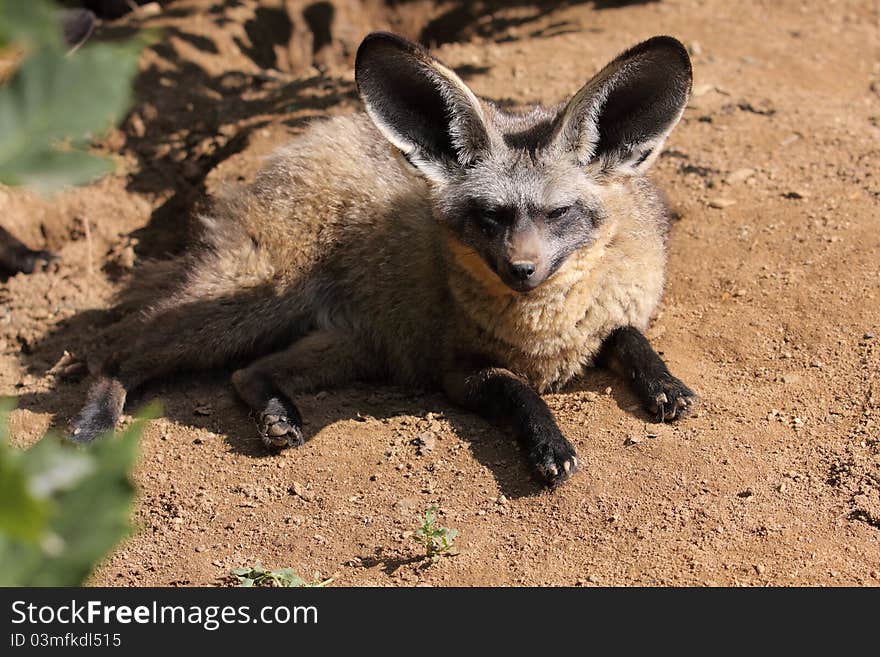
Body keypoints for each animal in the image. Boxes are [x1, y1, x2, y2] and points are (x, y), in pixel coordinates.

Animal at [72, 33, 696, 490]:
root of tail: (310, 135)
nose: (521, 271)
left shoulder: (612, 316)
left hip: (355, 346)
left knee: (246, 373)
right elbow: (519, 392)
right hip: (254, 309)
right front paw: (547, 442)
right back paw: (93, 424)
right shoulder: (456, 371)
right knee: (118, 350)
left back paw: (278, 415)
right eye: (488, 217)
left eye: (560, 213)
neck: (545, 336)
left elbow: (627, 336)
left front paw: (664, 383)